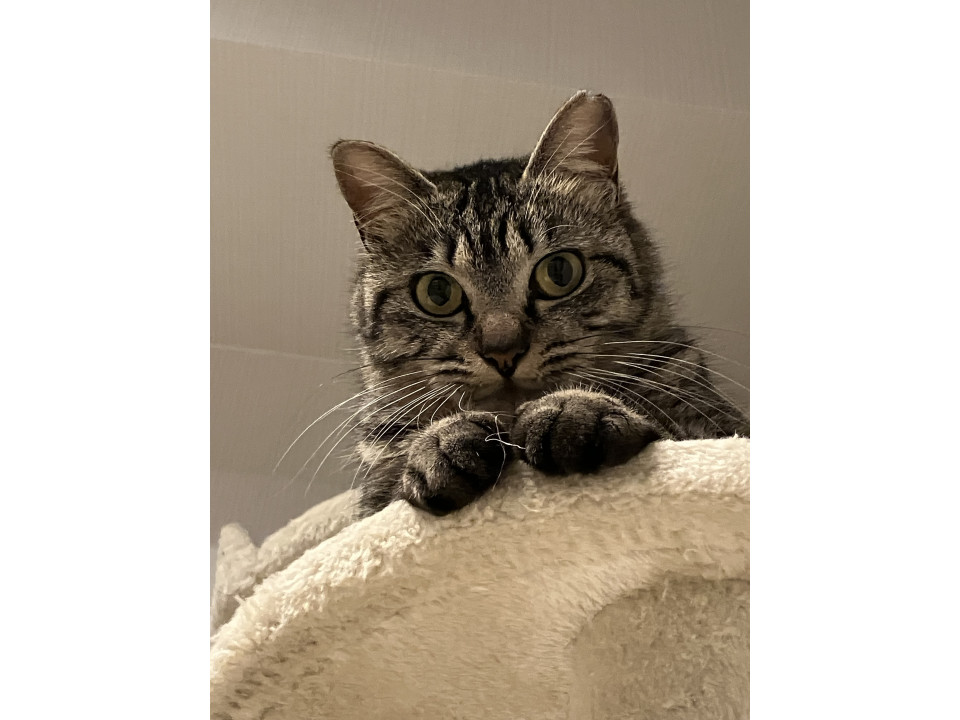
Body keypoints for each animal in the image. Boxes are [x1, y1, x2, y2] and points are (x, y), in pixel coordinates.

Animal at [330, 91, 748, 517]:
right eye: (438, 293)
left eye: (560, 272)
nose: (503, 352)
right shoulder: (370, 505)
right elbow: (392, 480)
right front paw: (441, 440)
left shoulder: (721, 430)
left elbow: (668, 423)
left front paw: (574, 407)